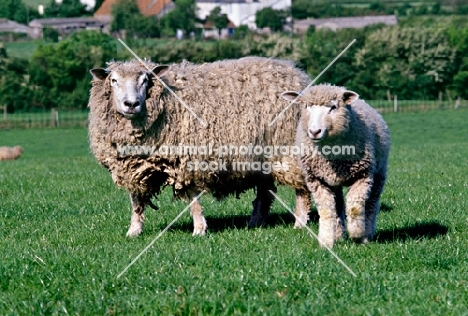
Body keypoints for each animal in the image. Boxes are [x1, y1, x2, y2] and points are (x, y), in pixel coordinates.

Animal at [89, 56, 312, 237]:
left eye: (145, 80)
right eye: (114, 80)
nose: (131, 104)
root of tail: (297, 73)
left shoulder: (189, 161)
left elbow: (193, 199)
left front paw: (199, 229)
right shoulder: (132, 167)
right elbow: (136, 201)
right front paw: (134, 230)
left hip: (289, 150)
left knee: (301, 189)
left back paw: (300, 223)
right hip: (263, 158)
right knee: (265, 192)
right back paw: (255, 222)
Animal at [284, 84, 390, 247]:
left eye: (333, 107)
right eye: (306, 106)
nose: (314, 131)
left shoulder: (363, 175)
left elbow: (354, 207)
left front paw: (356, 233)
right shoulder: (317, 180)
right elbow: (327, 211)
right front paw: (325, 241)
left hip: (379, 173)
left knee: (372, 203)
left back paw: (366, 235)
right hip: (334, 182)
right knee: (338, 205)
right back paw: (339, 235)